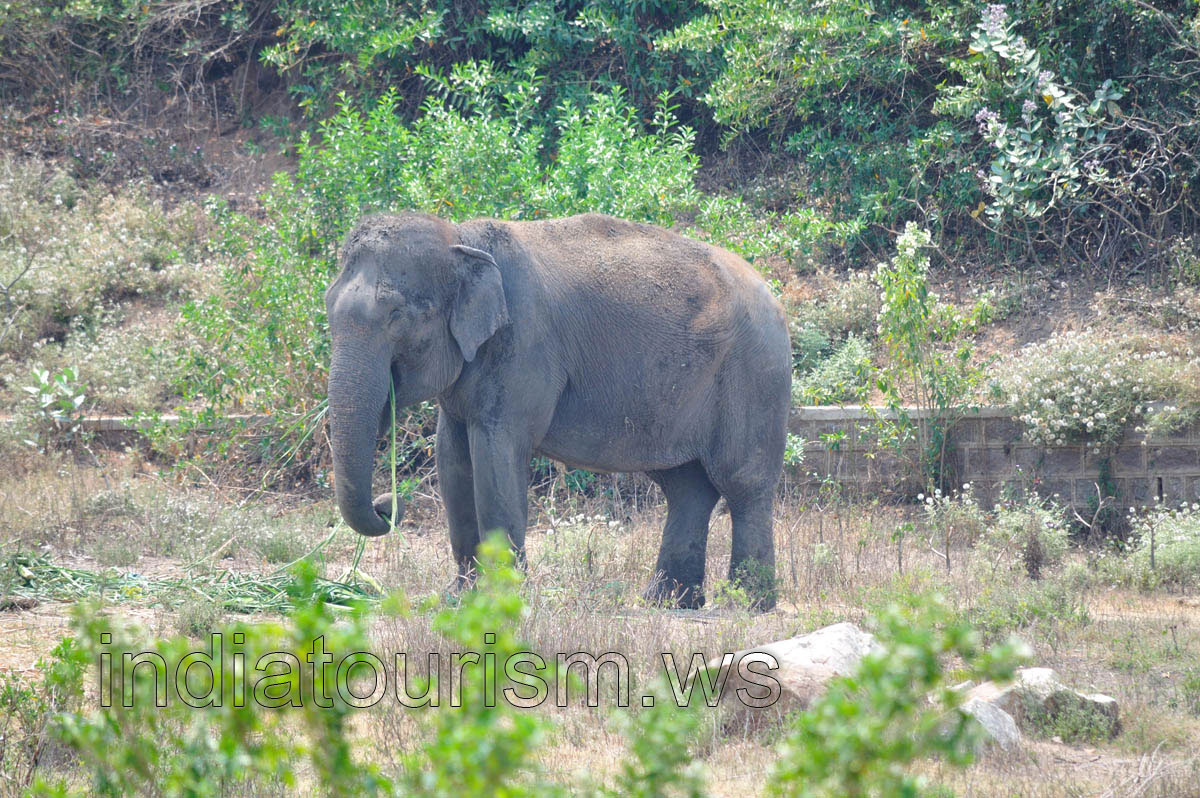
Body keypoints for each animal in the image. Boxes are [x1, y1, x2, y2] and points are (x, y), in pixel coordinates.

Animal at [325, 211, 791, 609]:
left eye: (396, 314)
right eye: (328, 309)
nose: (387, 505)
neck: (461, 237)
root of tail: (771, 292)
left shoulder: (523, 346)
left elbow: (496, 455)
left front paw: (502, 597)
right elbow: (452, 460)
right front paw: (458, 599)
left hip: (754, 373)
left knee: (743, 482)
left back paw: (747, 603)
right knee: (686, 486)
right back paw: (666, 602)